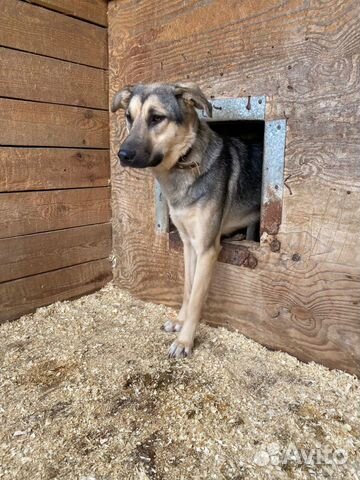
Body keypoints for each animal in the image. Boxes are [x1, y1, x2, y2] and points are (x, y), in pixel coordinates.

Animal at [112, 84, 262, 358]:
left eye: (156, 118)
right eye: (129, 117)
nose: (123, 154)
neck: (185, 161)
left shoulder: (207, 249)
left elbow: (196, 299)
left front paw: (185, 340)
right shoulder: (188, 244)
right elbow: (187, 288)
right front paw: (179, 321)